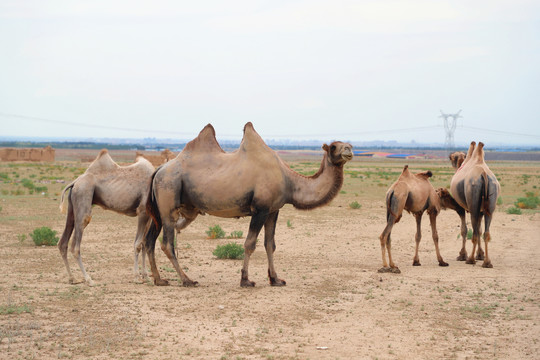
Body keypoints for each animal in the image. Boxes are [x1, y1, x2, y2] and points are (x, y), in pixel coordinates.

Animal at [58, 149, 156, 284]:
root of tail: (75, 182)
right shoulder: (142, 211)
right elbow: (137, 244)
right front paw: (136, 277)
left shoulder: (149, 216)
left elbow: (144, 243)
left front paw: (146, 276)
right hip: (83, 193)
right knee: (76, 245)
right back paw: (88, 279)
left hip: (73, 206)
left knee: (63, 242)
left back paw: (73, 278)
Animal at [144, 123, 354, 286]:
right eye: (334, 146)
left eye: (347, 144)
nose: (350, 149)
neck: (289, 181)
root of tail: (159, 169)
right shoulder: (260, 209)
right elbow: (249, 244)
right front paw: (246, 280)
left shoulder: (273, 210)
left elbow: (270, 244)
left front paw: (275, 279)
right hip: (168, 197)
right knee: (167, 243)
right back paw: (187, 280)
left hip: (160, 210)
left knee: (149, 240)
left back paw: (159, 279)